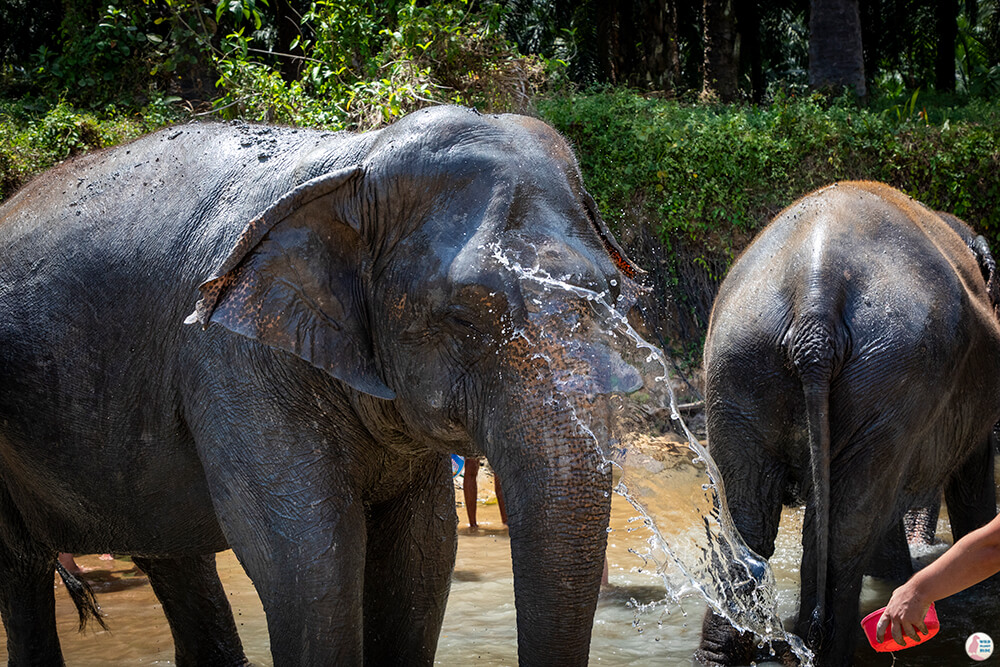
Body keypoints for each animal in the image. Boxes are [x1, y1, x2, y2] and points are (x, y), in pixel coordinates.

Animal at [0, 107, 640, 664]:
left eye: (613, 296)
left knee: (173, 560)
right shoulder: (231, 359)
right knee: (22, 572)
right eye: (463, 316)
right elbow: (310, 563)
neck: (355, 159)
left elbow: (423, 555)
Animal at [696, 180, 1000, 664]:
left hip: (739, 361)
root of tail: (815, 297)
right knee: (845, 533)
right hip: (892, 375)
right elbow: (971, 475)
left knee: (746, 525)